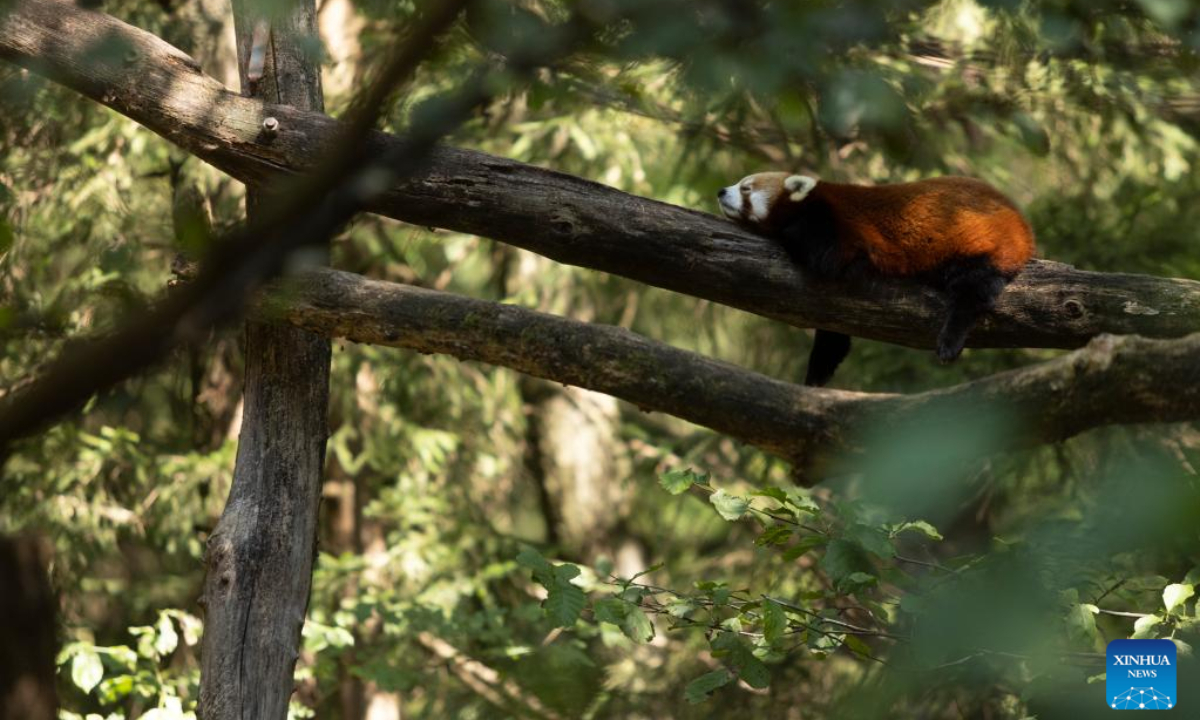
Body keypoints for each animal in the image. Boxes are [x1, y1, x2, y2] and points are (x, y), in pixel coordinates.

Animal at [717, 172, 1036, 387]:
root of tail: (1021, 223)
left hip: (981, 243)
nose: (721, 191)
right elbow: (832, 330)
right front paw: (820, 368)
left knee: (974, 289)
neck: (810, 202)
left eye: (746, 188)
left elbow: (829, 258)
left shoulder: (837, 227)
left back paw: (950, 338)